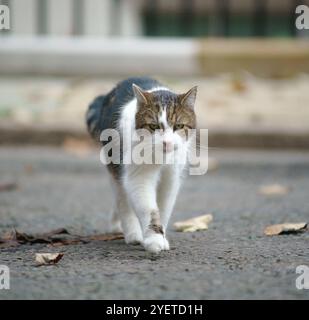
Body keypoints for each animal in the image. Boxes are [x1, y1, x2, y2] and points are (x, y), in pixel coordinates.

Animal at [86, 77, 197, 252]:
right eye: (153, 126)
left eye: (178, 126)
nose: (166, 143)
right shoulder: (138, 177)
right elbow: (149, 209)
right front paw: (154, 240)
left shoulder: (171, 179)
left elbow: (164, 208)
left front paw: (162, 237)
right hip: (116, 167)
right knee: (123, 199)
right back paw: (132, 234)